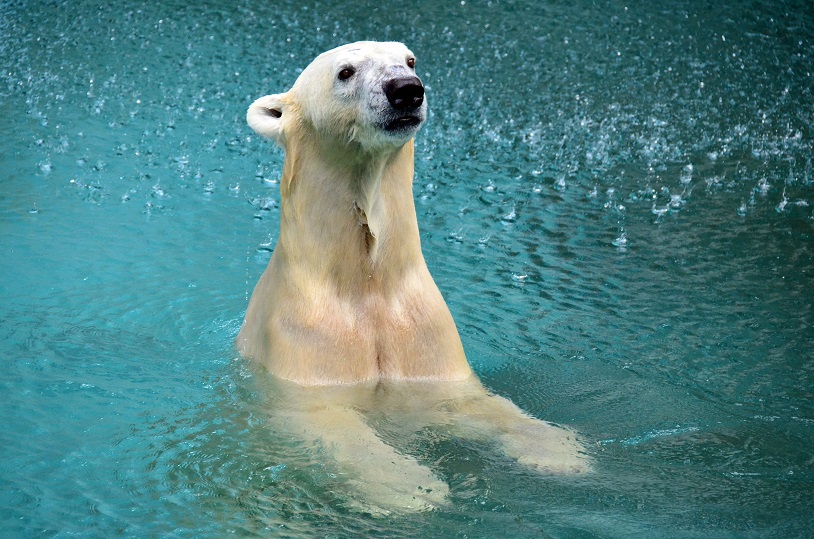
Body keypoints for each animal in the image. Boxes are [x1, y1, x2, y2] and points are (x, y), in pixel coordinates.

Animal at [239, 42, 588, 516]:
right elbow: (331, 423)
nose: (406, 90)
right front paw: (412, 486)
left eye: (409, 60)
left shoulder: (423, 334)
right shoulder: (302, 347)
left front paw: (560, 450)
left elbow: (474, 402)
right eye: (345, 71)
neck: (365, 282)